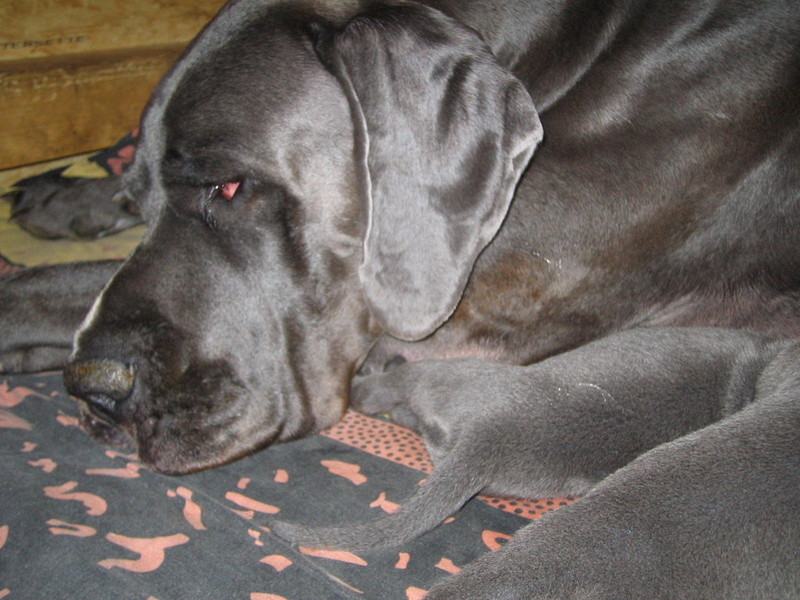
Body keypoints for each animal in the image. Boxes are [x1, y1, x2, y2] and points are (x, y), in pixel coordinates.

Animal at [1, 0, 799, 596]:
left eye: (230, 186)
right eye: (144, 193)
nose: (94, 392)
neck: (578, 50)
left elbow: (61, 283)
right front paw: (69, 195)